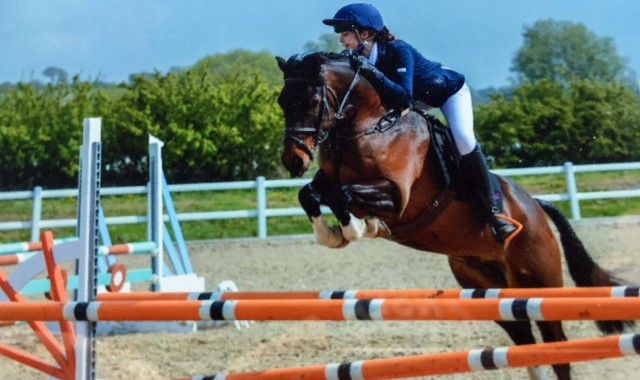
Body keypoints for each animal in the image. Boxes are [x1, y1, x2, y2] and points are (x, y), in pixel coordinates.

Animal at [276, 51, 636, 380]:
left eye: (312, 100)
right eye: (282, 102)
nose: (293, 160)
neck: (366, 127)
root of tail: (535, 205)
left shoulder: (398, 197)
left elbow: (343, 194)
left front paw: (356, 227)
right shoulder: (332, 181)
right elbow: (312, 193)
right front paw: (335, 232)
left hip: (539, 282)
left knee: (556, 346)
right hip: (487, 287)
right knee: (523, 341)